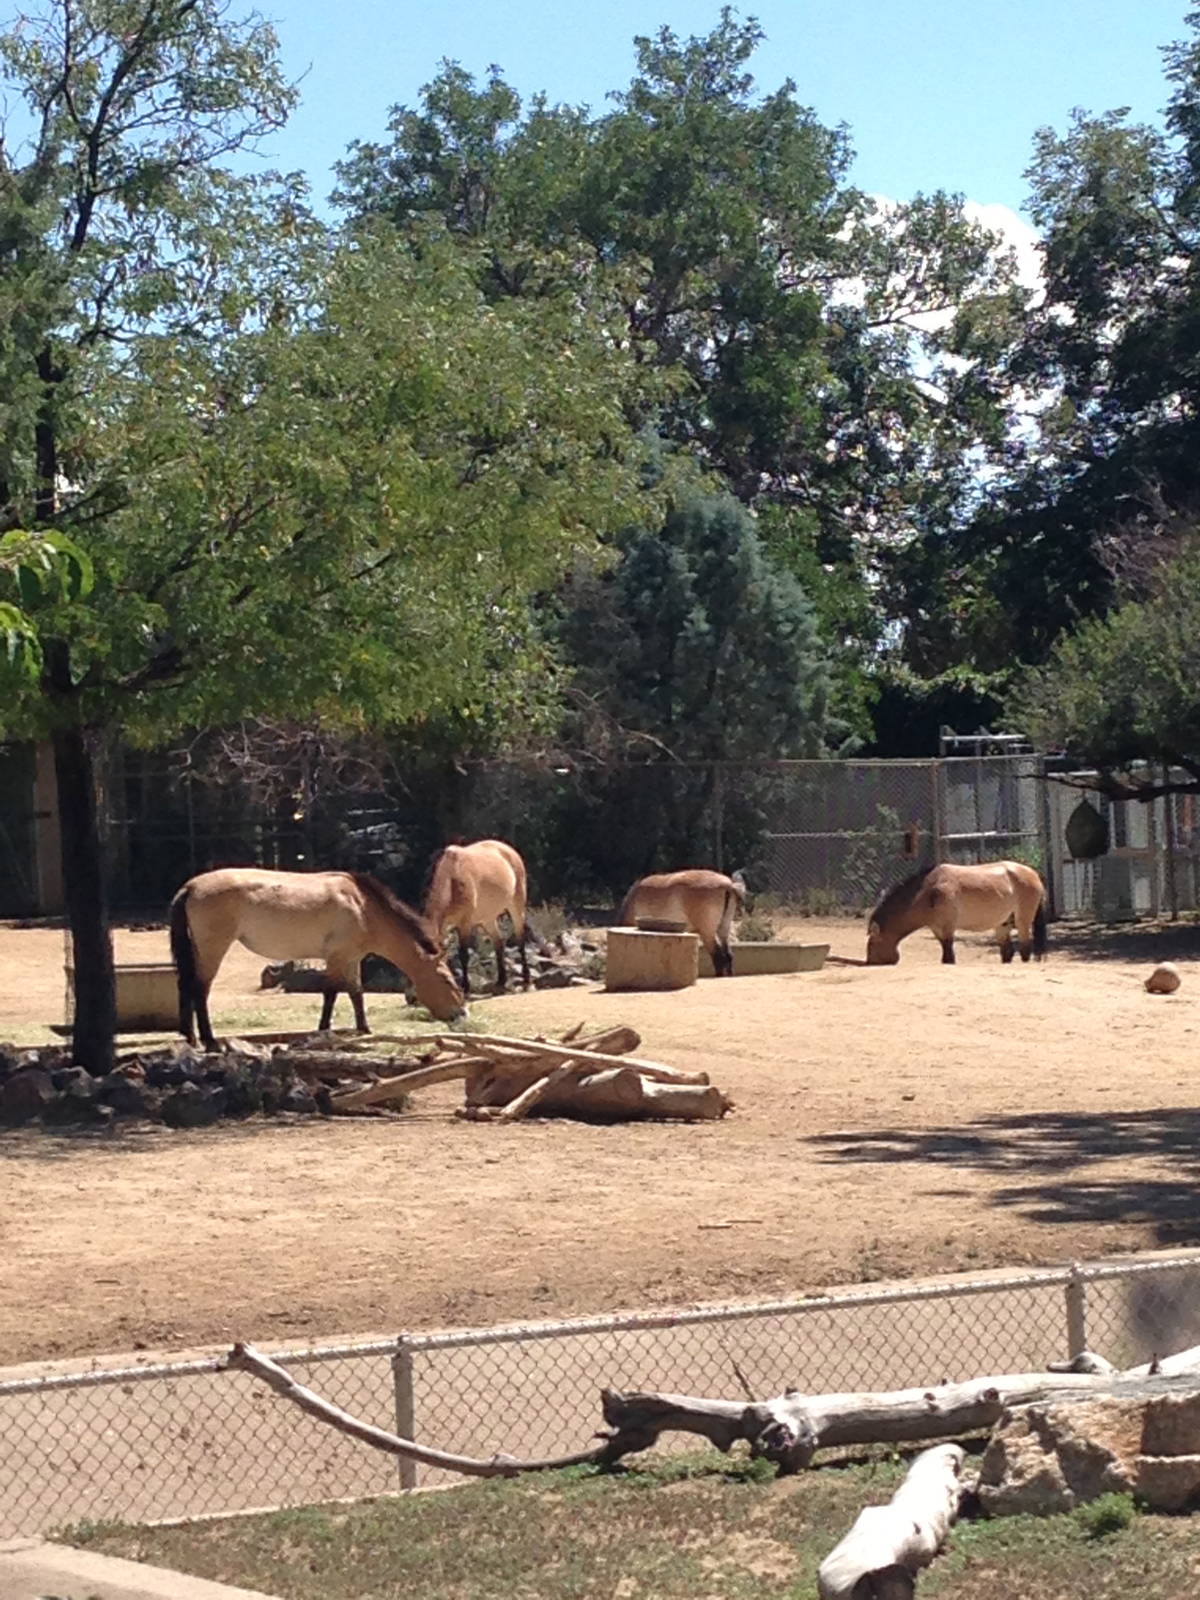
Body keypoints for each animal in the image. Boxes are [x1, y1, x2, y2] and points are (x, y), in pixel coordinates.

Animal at [169, 867, 465, 1051]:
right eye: (447, 980)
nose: (461, 1014)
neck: (362, 906)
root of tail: (191, 886)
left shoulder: (351, 959)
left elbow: (356, 993)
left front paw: (364, 1028)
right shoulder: (336, 958)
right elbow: (331, 993)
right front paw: (323, 1030)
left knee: (186, 987)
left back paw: (192, 1037)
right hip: (213, 949)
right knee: (200, 989)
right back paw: (209, 1041)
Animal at [422, 838, 548, 997]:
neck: (452, 878)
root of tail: (508, 849)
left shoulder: (465, 923)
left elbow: (463, 954)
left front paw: (466, 989)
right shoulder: (445, 927)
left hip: (516, 906)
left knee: (520, 940)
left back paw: (526, 982)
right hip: (488, 919)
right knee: (499, 942)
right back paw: (500, 982)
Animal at [865, 860, 1048, 967]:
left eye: (872, 944)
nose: (869, 961)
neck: (928, 890)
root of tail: (1034, 874)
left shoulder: (947, 927)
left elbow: (948, 954)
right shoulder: (936, 928)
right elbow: (945, 953)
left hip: (1022, 921)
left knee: (1025, 949)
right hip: (1003, 924)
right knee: (1007, 952)